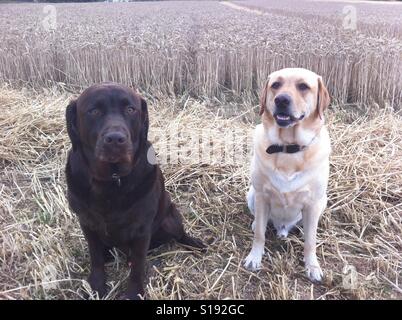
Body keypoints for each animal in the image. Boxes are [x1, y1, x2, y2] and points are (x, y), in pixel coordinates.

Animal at [66, 83, 204, 300]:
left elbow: (138, 266)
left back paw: (194, 242)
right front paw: (96, 286)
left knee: (179, 233)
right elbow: (95, 257)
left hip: (170, 219)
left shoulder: (141, 230)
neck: (110, 182)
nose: (116, 139)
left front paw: (133, 293)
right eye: (94, 111)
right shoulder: (86, 222)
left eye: (130, 109)